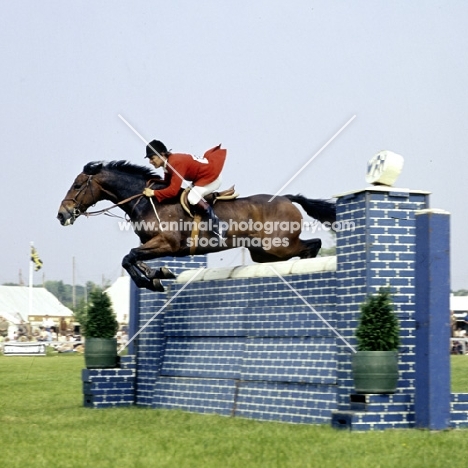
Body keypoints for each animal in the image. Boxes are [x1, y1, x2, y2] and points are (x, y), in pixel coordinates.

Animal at [57, 162, 336, 292]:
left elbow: (129, 257)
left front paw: (151, 281)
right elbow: (135, 259)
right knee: (306, 248)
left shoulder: (166, 243)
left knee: (313, 244)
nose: (62, 214)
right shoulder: (151, 244)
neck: (145, 200)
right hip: (262, 253)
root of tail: (288, 199)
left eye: (78, 185)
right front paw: (158, 275)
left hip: (277, 246)